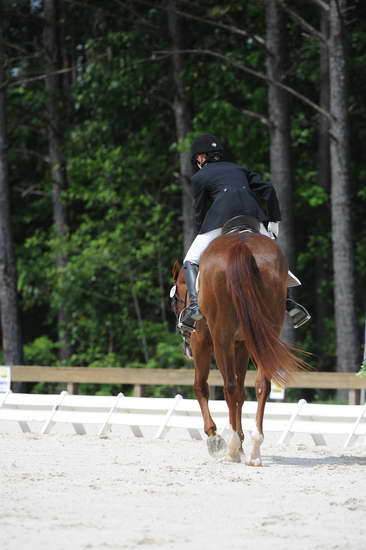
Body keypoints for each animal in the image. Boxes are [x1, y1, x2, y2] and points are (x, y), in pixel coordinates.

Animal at [172, 231, 306, 468]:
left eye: (176, 299)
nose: (185, 347)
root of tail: (242, 244)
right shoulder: (241, 345)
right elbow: (242, 393)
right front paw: (241, 442)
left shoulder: (203, 343)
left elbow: (201, 387)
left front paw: (215, 438)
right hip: (263, 336)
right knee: (261, 385)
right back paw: (254, 450)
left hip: (221, 339)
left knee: (229, 387)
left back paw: (232, 448)